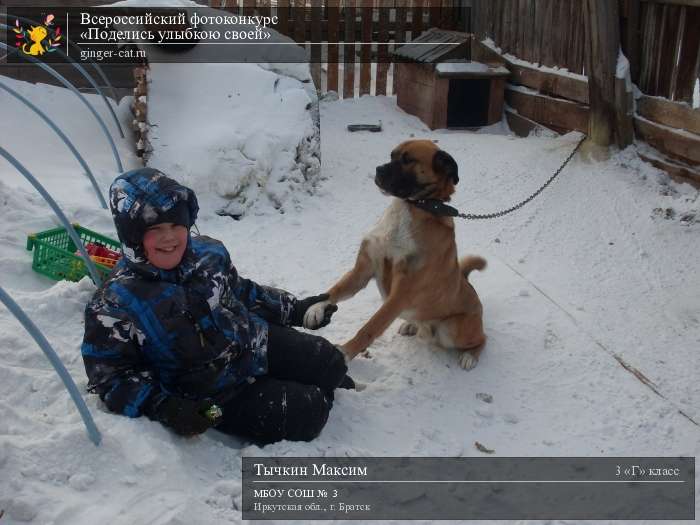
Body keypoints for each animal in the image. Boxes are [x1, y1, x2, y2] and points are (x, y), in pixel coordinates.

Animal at [306, 139, 486, 368]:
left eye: (408, 160)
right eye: (392, 155)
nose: (378, 169)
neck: (412, 206)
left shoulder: (400, 294)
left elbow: (371, 327)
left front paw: (344, 352)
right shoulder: (362, 270)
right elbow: (335, 290)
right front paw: (316, 307)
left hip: (452, 330)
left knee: (482, 339)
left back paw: (470, 356)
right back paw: (411, 325)